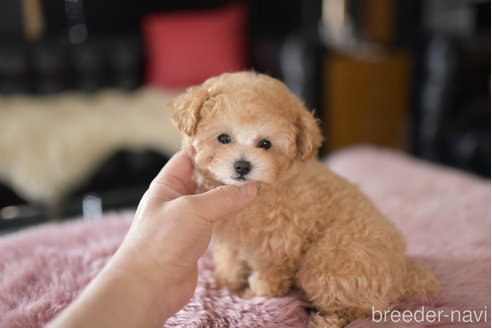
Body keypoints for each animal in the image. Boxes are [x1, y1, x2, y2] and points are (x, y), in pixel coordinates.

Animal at [171, 71, 436, 326]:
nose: (242, 166)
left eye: (265, 144)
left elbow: (267, 274)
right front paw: (226, 281)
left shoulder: (278, 245)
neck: (263, 189)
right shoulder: (231, 235)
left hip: (332, 258)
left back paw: (325, 321)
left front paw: (256, 296)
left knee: (356, 309)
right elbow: (229, 255)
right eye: (224, 138)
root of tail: (403, 277)